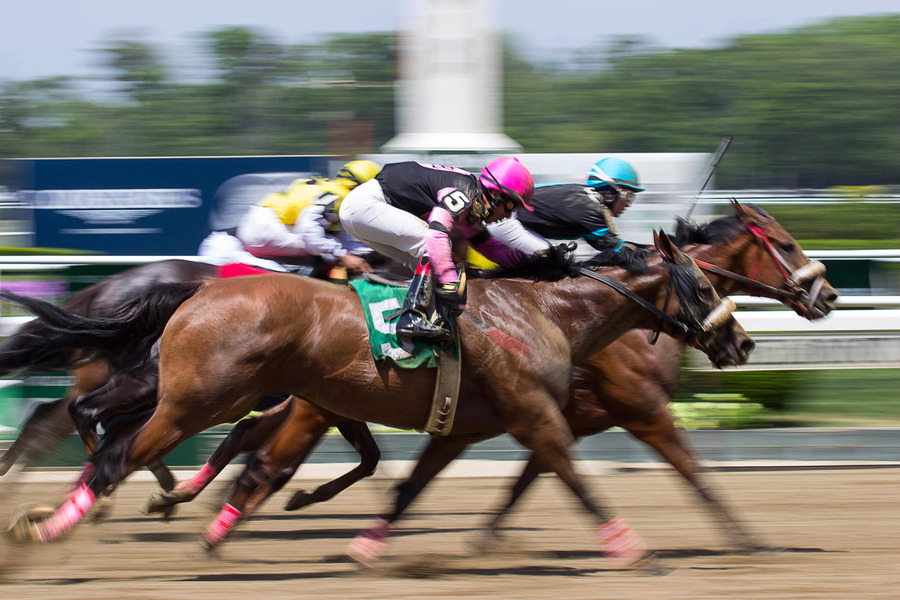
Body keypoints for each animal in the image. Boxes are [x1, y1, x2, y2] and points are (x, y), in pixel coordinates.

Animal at [8, 231, 752, 572]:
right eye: (706, 288)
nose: (741, 342)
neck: (542, 311)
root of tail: (199, 289)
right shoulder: (536, 414)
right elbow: (578, 479)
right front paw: (635, 551)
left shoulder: (461, 426)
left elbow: (406, 485)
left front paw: (366, 546)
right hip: (196, 400)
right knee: (113, 448)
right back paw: (52, 527)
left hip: (212, 396)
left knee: (108, 433)